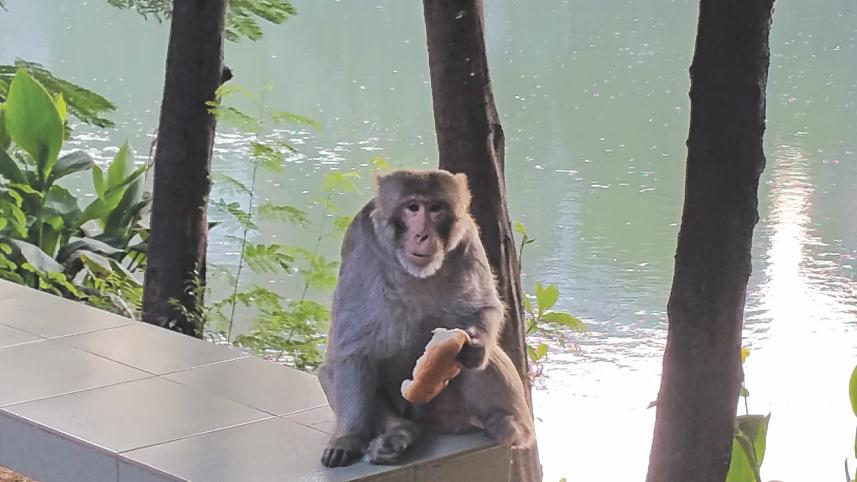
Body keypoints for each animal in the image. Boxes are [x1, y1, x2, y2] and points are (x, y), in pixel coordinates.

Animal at [318, 168, 535, 468]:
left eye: (435, 208)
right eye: (412, 207)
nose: (422, 234)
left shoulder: (468, 238)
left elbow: (485, 307)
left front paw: (476, 347)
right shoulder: (359, 244)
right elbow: (352, 344)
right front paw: (349, 437)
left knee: (484, 360)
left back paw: (512, 426)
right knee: (333, 370)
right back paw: (399, 433)